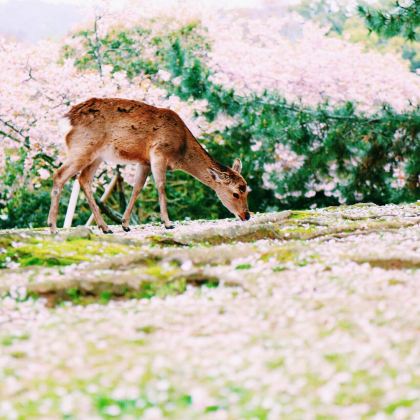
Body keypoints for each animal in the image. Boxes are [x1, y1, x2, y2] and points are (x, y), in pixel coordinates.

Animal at [47, 98, 249, 235]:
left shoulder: (143, 161)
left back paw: (105, 227)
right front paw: (168, 222)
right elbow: (161, 185)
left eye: (247, 190)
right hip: (83, 147)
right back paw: (53, 227)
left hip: (97, 156)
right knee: (59, 175)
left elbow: (137, 188)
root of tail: (66, 120)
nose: (247, 215)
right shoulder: (158, 152)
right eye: (235, 193)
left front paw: (125, 224)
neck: (180, 150)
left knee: (83, 179)